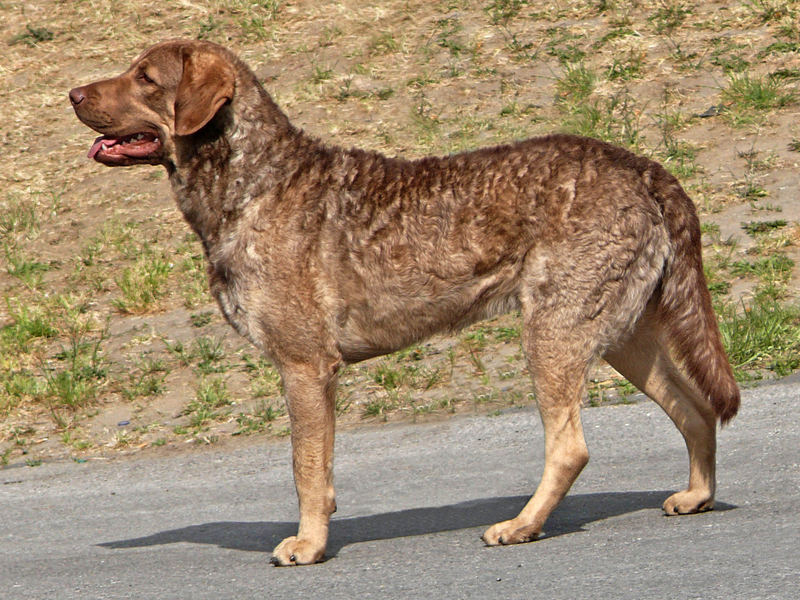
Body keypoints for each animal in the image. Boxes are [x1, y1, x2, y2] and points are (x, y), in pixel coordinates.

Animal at [72, 39, 740, 564]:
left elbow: (305, 469)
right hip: (622, 335)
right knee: (695, 408)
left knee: (571, 446)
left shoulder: (305, 367)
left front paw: (307, 546)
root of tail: (644, 166)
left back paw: (521, 526)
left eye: (145, 77)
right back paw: (695, 496)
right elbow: (320, 471)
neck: (248, 182)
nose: (73, 92)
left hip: (553, 333)